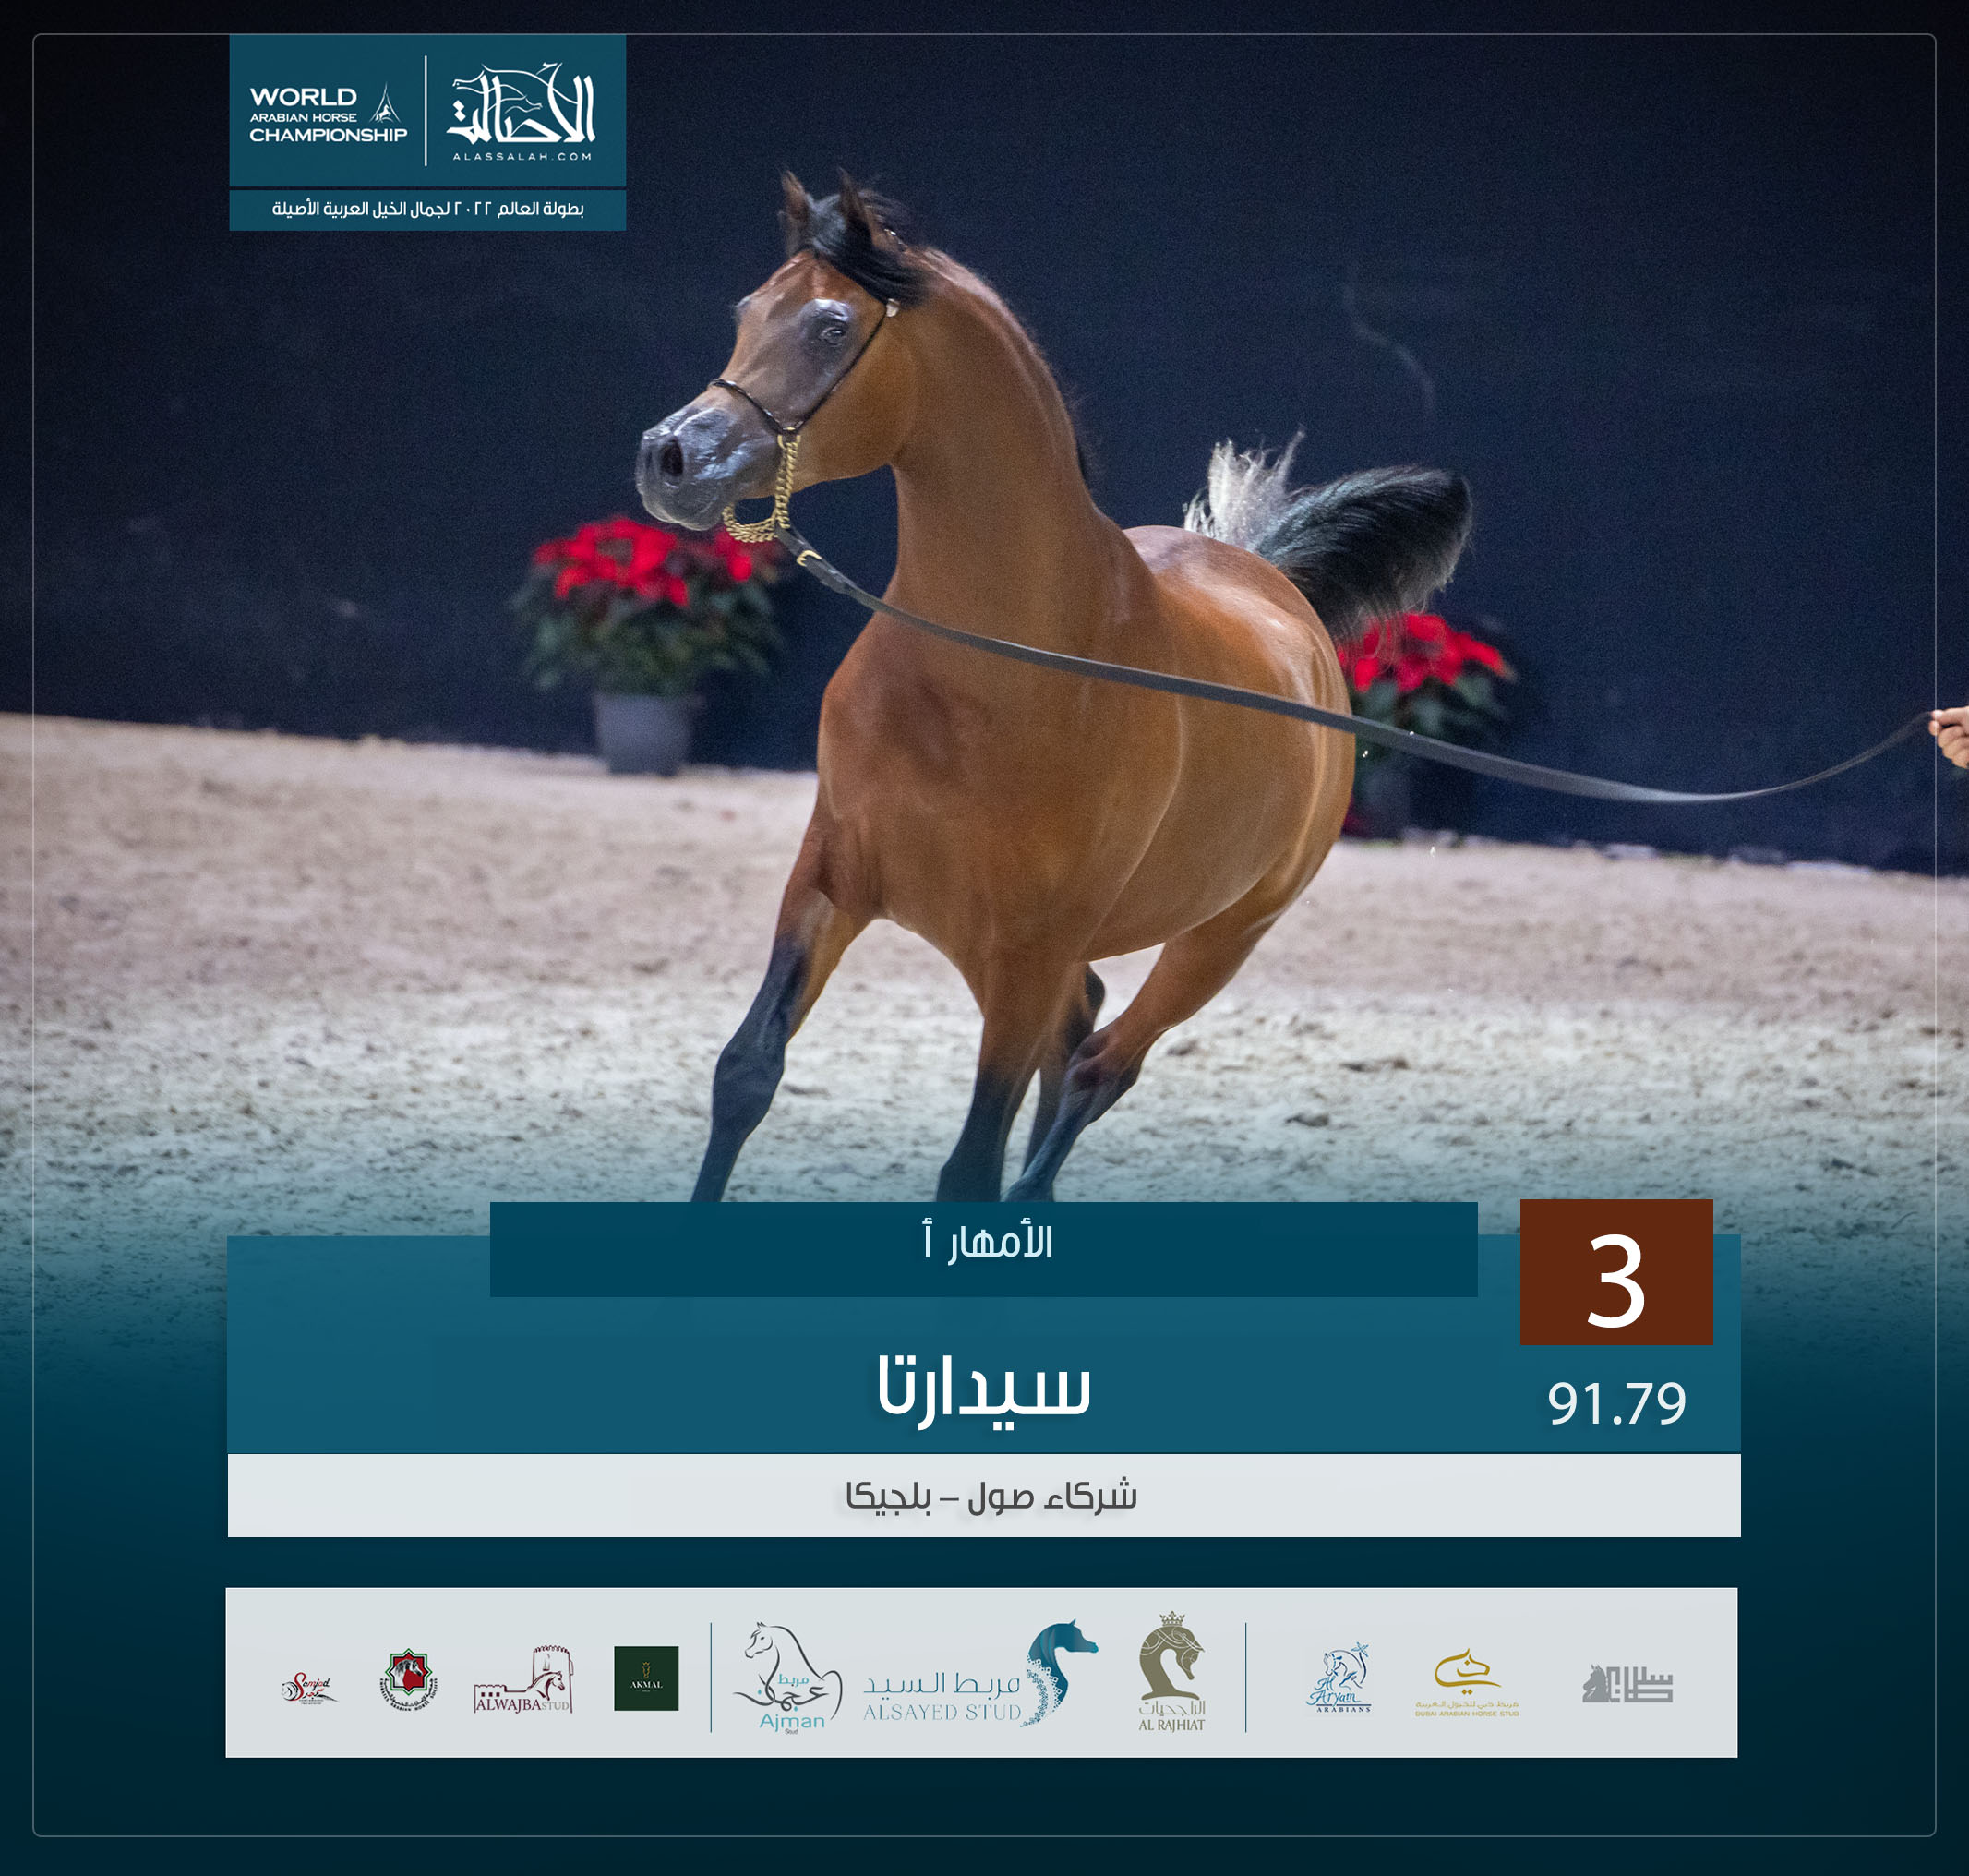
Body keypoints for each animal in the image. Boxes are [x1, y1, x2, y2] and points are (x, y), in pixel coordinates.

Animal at [638, 174, 1470, 1202]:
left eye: (832, 326)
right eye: (749, 311)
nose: (670, 458)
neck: (991, 675)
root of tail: (1276, 586)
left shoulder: (1028, 953)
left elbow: (970, 1168)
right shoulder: (829, 875)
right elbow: (746, 1074)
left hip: (1214, 943)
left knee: (1097, 1066)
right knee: (1079, 1033)